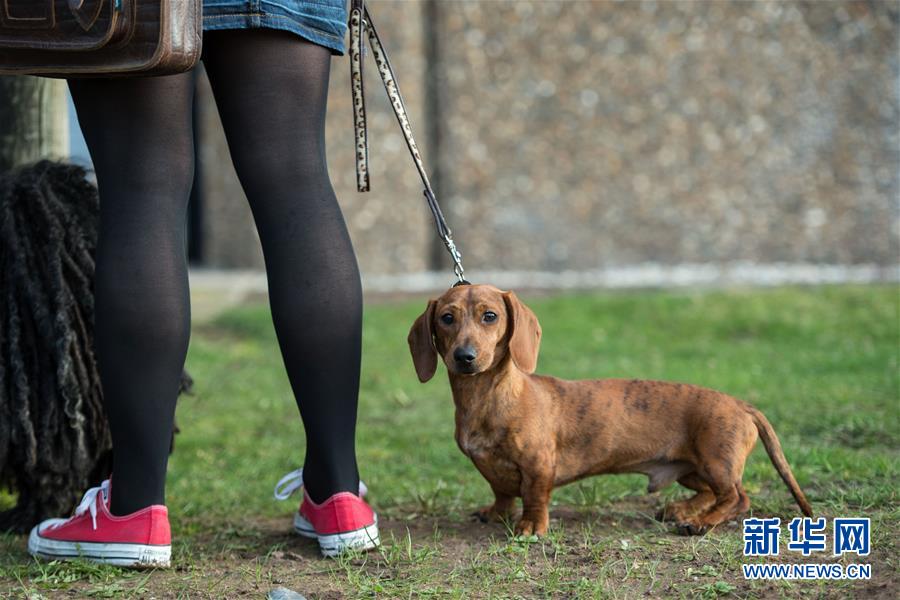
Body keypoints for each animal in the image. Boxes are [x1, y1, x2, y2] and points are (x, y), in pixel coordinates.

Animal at [410, 284, 816, 536]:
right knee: (711, 493)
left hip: (716, 461)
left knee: (736, 497)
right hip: (691, 469)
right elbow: (502, 492)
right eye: (447, 318)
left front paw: (530, 527)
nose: (465, 357)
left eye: (490, 316)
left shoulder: (539, 464)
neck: (487, 397)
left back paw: (700, 522)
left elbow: (534, 497)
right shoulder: (490, 468)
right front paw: (495, 514)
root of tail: (741, 404)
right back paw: (683, 510)